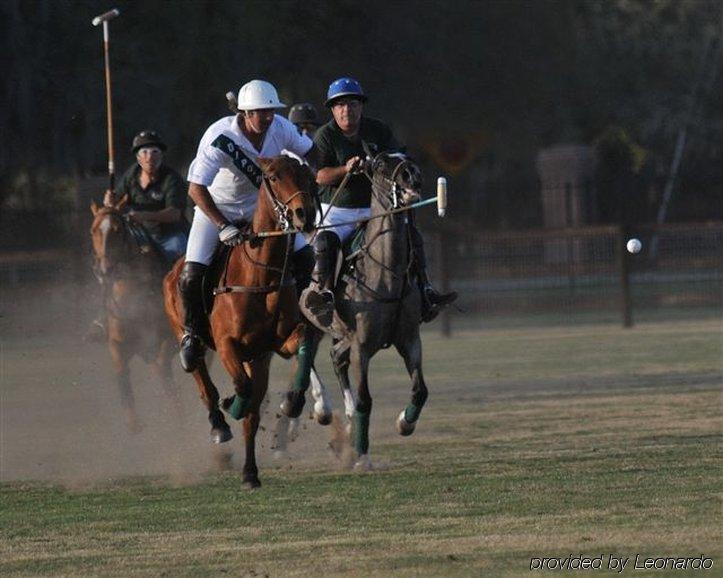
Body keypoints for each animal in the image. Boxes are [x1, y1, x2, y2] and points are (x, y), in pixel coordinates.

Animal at [88, 196, 182, 430]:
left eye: (117, 229)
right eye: (93, 230)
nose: (104, 270)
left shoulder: (169, 340)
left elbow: (163, 370)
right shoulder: (117, 343)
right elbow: (122, 373)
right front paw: (134, 423)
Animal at [167, 154, 320, 486]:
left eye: (306, 174)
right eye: (273, 176)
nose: (305, 215)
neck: (261, 275)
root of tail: (173, 269)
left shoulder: (275, 345)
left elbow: (303, 340)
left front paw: (294, 400)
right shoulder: (227, 345)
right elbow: (241, 387)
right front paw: (230, 405)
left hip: (258, 358)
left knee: (252, 413)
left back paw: (250, 472)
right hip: (187, 334)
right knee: (202, 378)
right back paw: (219, 424)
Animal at [302, 150, 428, 468]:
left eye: (406, 155)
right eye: (380, 163)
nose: (412, 174)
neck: (386, 275)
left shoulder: (410, 339)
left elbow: (420, 389)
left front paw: (404, 423)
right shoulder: (362, 345)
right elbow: (365, 399)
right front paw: (361, 455)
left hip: (341, 333)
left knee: (335, 357)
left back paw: (345, 423)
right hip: (305, 320)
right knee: (303, 354)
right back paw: (321, 408)